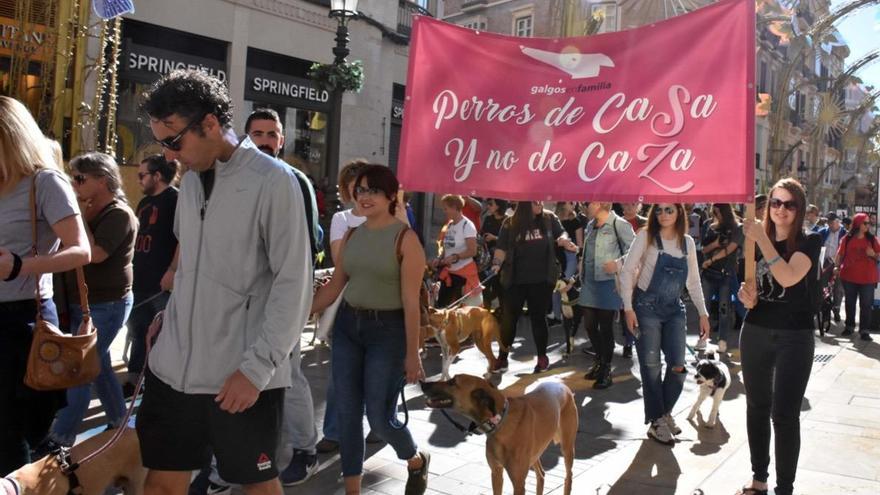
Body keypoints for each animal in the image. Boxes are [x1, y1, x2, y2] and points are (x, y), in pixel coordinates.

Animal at [422, 376, 580, 495]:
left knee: (569, 477)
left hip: (567, 448)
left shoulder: (518, 483)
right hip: (534, 452)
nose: (423, 383)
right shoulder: (496, 473)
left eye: (452, 382)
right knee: (541, 475)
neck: (499, 422)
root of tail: (563, 386)